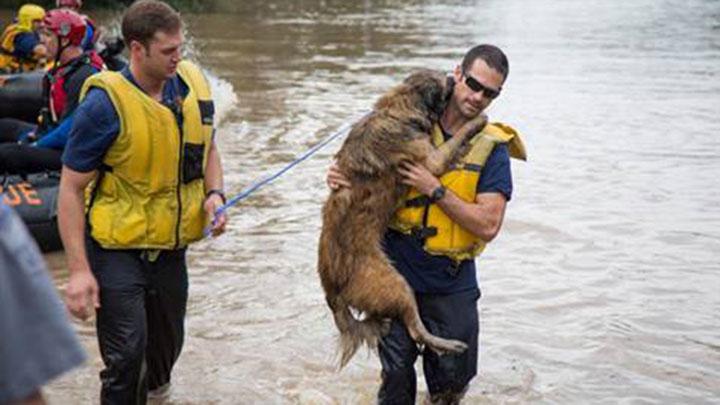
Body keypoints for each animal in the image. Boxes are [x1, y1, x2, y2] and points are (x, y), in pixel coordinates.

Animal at [318, 69, 486, 366]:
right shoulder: (430, 160)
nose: (452, 76)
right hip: (395, 284)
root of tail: (332, 292)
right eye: (444, 82)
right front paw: (477, 121)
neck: (398, 110)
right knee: (416, 329)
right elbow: (455, 141)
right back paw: (449, 344)